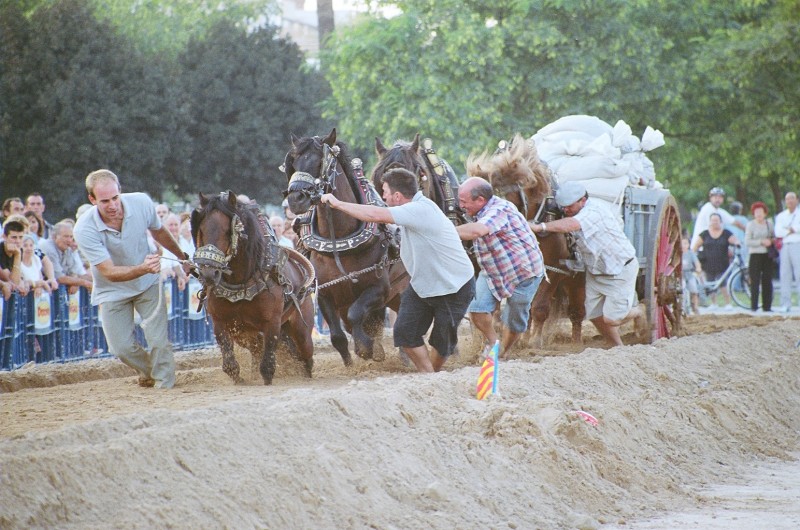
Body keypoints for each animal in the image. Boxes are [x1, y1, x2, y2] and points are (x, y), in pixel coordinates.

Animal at [191, 190, 316, 384]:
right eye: (202, 230)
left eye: (228, 231)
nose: (209, 274)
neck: (241, 282)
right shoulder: (221, 322)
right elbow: (230, 366)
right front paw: (240, 380)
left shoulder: (272, 323)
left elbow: (267, 367)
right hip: (247, 335)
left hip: (301, 331)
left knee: (306, 358)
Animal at [282, 127, 410, 364]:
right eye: (293, 163)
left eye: (319, 162)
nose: (296, 199)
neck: (339, 242)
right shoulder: (325, 293)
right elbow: (338, 337)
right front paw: (354, 362)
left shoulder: (379, 288)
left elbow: (356, 315)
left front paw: (366, 349)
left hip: (401, 291)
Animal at [466, 134, 584, 344]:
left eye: (501, 197)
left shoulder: (554, 268)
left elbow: (540, 307)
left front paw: (535, 341)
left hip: (575, 279)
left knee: (576, 312)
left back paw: (576, 342)